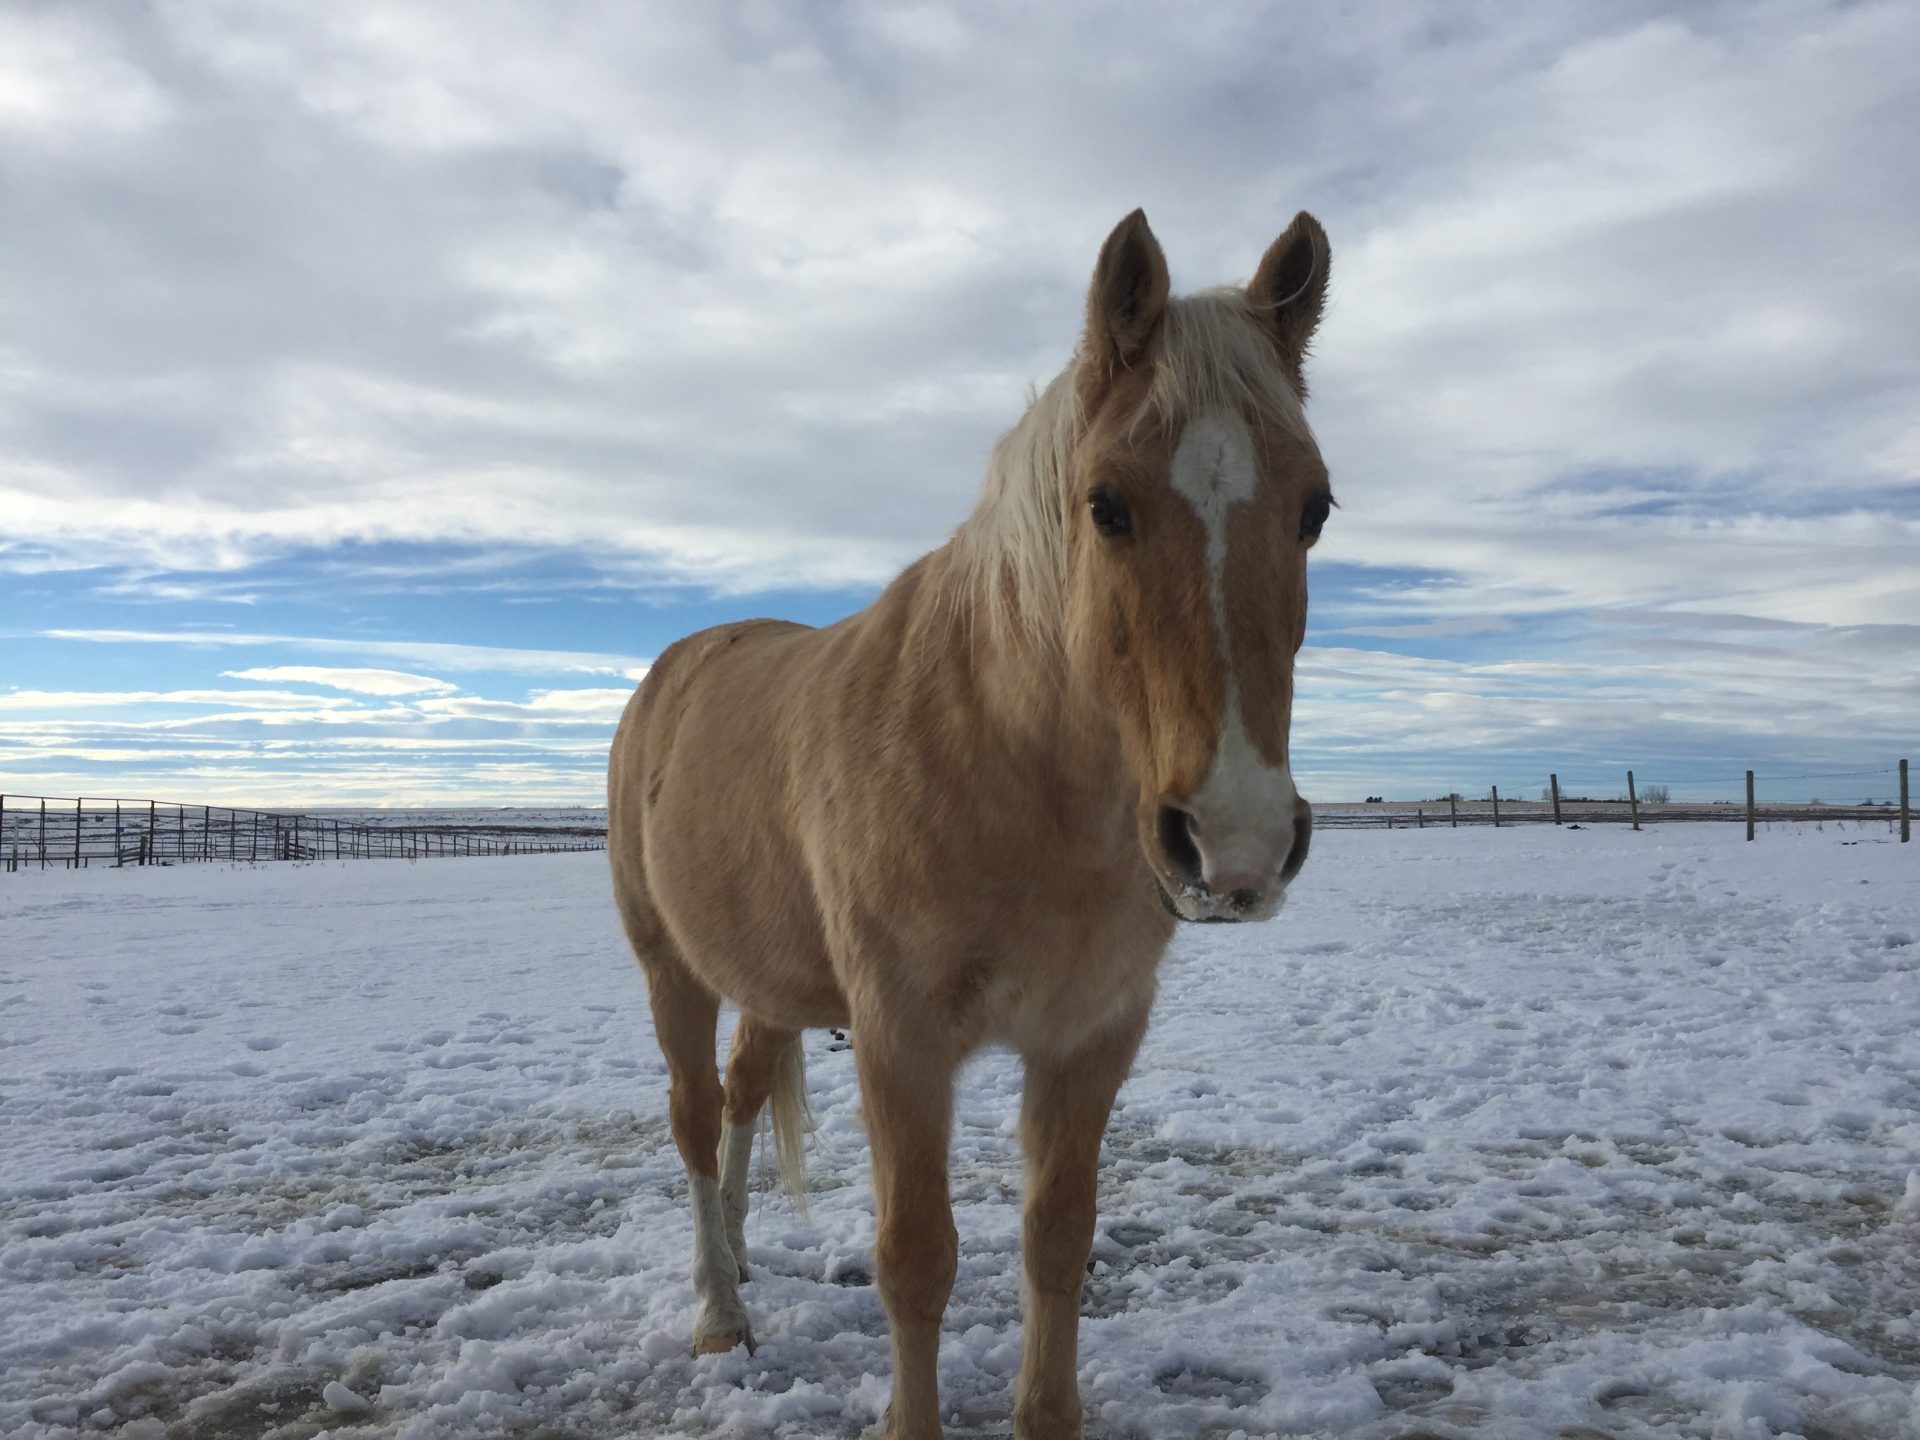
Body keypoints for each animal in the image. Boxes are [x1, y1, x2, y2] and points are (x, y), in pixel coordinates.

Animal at [608, 207, 1333, 1440]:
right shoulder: (901, 1040)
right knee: (696, 1119)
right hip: (672, 971)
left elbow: (1057, 1240)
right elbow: (917, 1259)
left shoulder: (1092, 1036)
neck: (1009, 767)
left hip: (766, 977)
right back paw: (718, 1311)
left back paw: (742, 1261)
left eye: (1315, 509)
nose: (1233, 841)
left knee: (744, 1099)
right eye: (1106, 504)